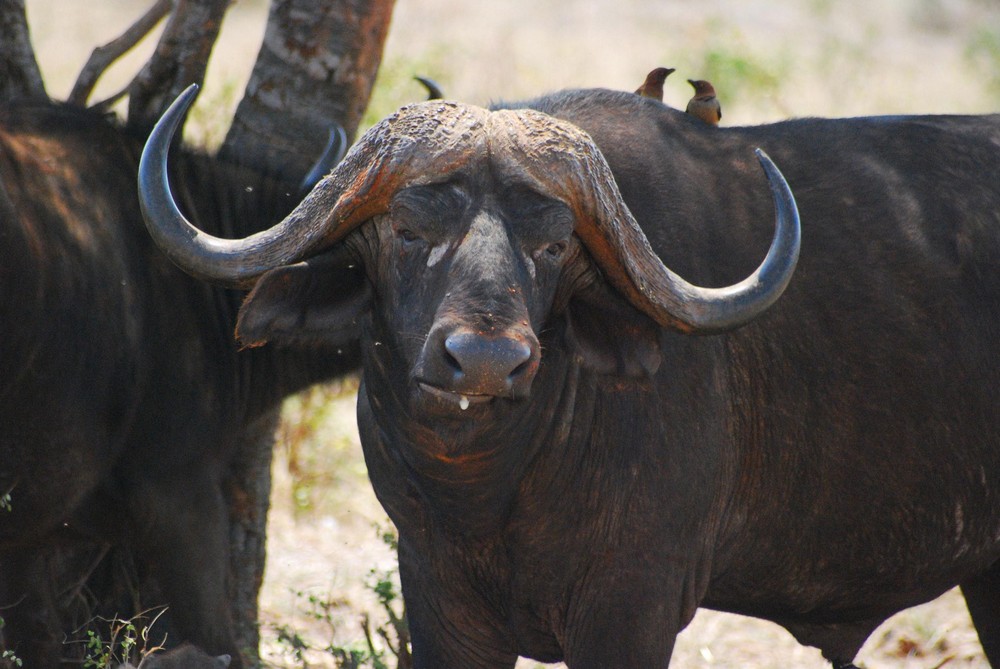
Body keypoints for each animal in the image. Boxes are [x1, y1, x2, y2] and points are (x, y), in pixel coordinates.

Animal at [139, 85, 1000, 668]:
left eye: (553, 245)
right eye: (410, 230)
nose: (487, 360)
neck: (495, 490)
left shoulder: (634, 600)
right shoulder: (437, 592)